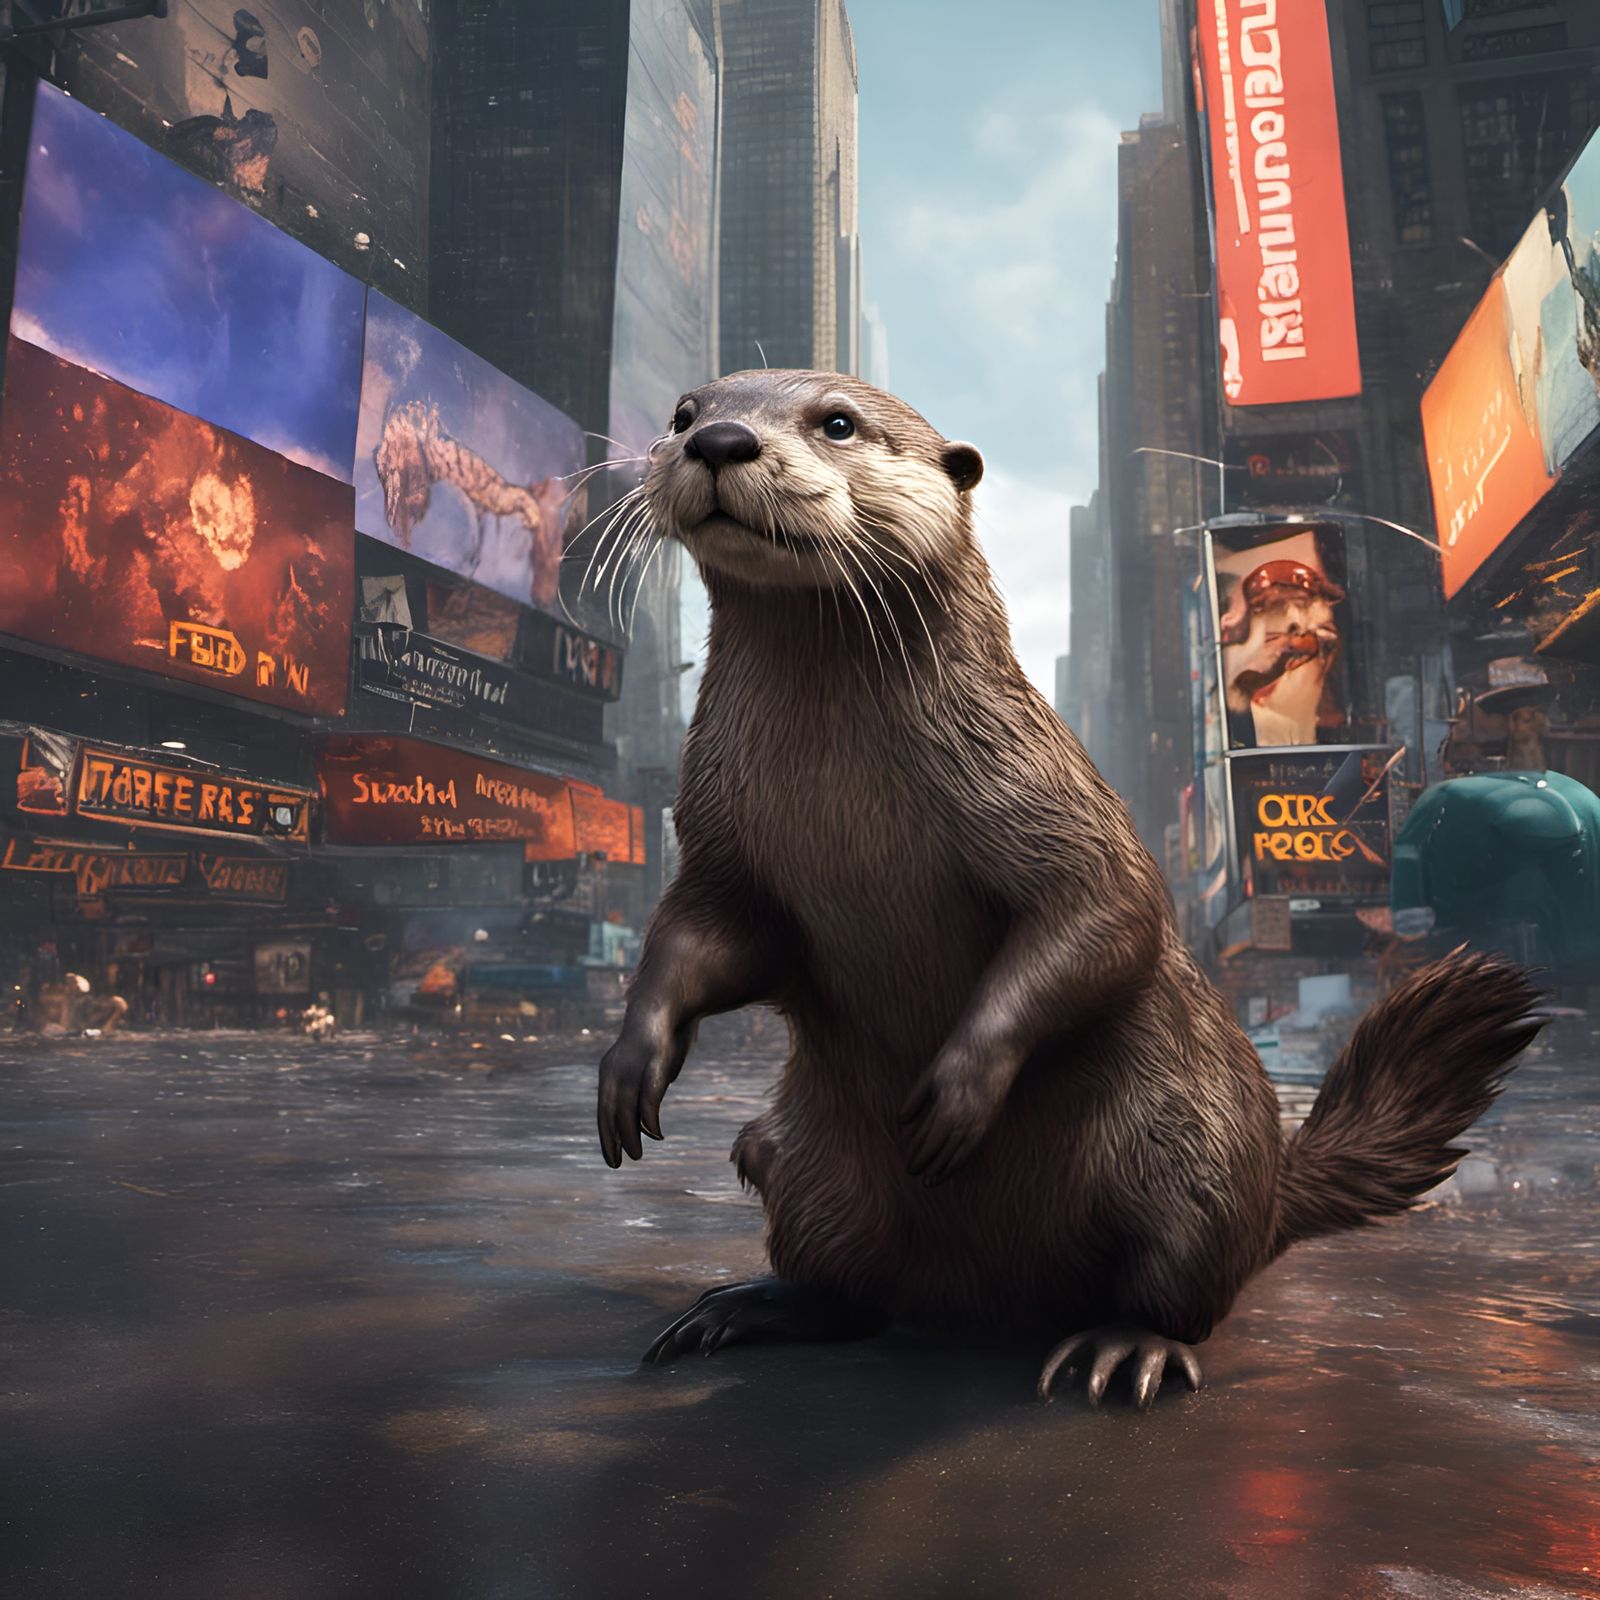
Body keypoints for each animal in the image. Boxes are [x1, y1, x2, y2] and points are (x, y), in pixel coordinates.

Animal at [595, 369, 1541, 1406]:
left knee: (1183, 1289)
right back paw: (742, 1307)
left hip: (1193, 1161)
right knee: (849, 1287)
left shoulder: (1047, 796)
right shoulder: (722, 840)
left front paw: (958, 1092)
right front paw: (631, 1062)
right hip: (812, 1161)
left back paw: (1123, 1350)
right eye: (685, 412)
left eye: (837, 422)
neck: (831, 775)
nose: (719, 440)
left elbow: (1103, 915)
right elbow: (702, 938)